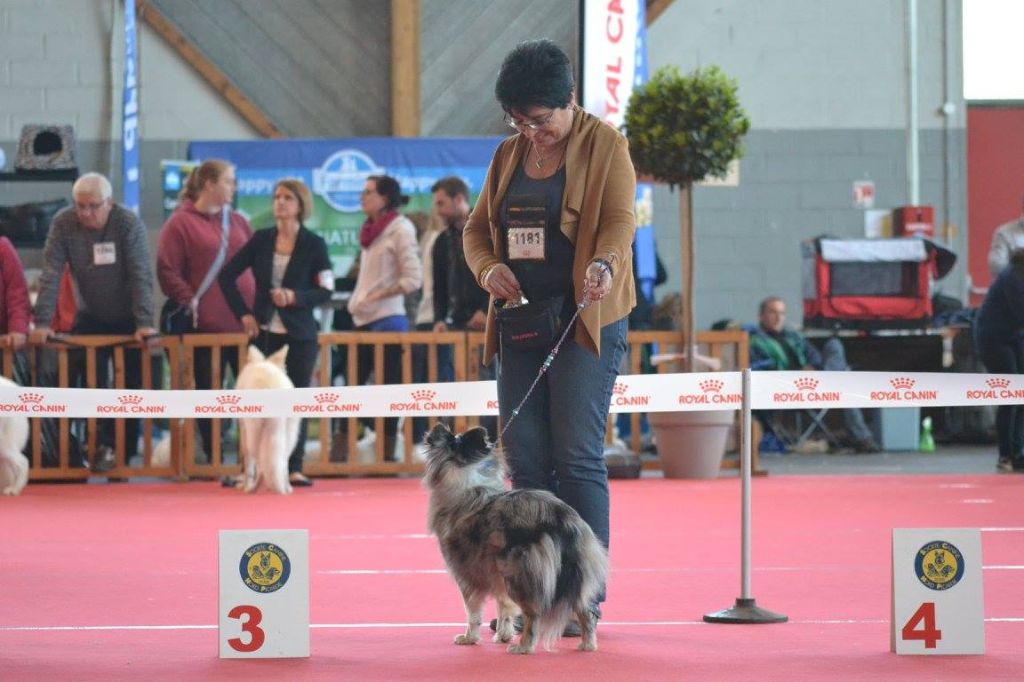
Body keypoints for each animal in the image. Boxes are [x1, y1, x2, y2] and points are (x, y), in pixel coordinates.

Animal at [232, 346, 296, 493]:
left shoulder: (244, 432)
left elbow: (249, 464)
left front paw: (244, 485)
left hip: (254, 434)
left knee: (261, 464)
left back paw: (252, 488)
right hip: (289, 436)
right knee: (282, 463)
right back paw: (286, 488)